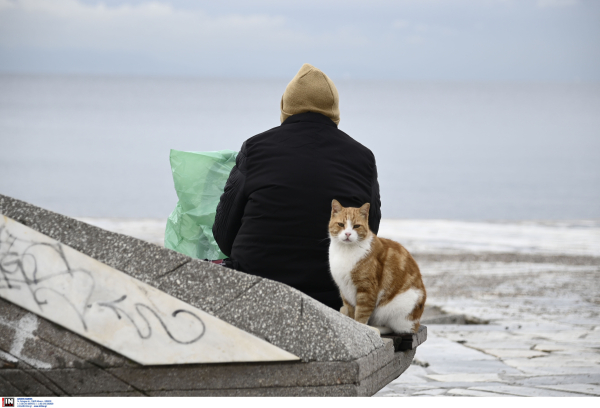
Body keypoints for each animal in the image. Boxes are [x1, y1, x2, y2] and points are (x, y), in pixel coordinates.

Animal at [328, 199, 426, 334]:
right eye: (341, 224)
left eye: (356, 226)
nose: (347, 233)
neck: (345, 251)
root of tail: (417, 323)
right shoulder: (345, 290)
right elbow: (351, 313)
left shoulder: (367, 290)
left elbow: (361, 315)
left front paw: (361, 328)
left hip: (399, 305)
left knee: (396, 328)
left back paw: (376, 328)